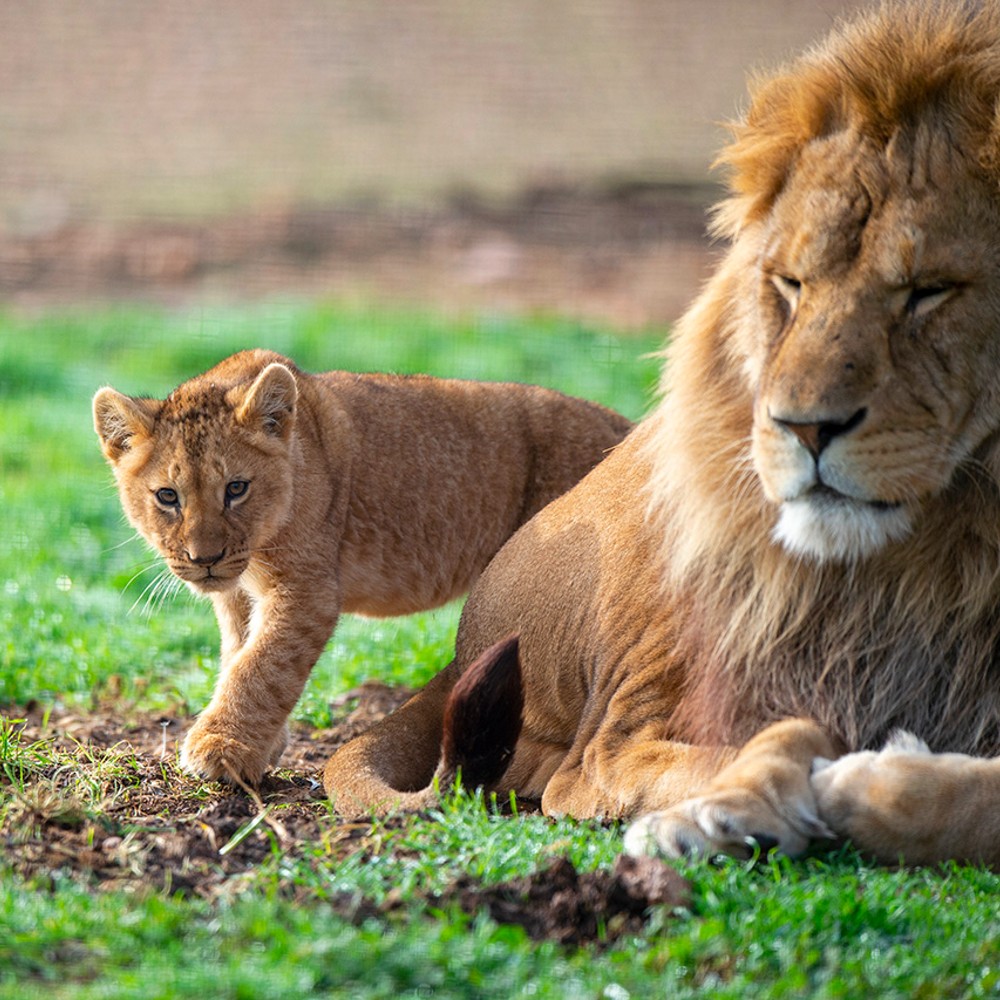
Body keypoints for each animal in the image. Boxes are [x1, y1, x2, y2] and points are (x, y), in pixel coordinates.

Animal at [324, 0, 1000, 864]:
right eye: (790, 285)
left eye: (930, 292)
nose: (801, 427)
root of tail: (468, 633)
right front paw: (764, 796)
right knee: (588, 766)